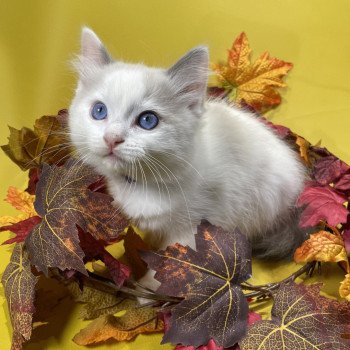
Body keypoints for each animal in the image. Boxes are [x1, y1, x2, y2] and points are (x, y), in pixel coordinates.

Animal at [68, 28, 306, 288]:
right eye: (99, 111)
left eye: (148, 120)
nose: (112, 139)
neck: (144, 182)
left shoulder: (195, 228)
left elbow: (173, 264)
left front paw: (150, 287)